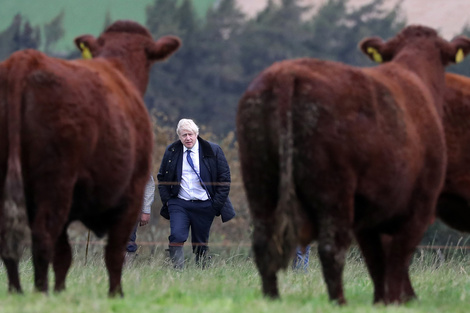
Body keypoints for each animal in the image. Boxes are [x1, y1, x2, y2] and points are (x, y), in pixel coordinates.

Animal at [0, 20, 181, 294]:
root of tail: (25, 60)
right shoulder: (133, 191)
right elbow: (114, 253)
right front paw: (115, 294)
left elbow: (64, 256)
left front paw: (62, 291)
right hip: (56, 183)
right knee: (42, 236)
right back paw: (40, 292)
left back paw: (17, 291)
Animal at [237, 25, 470, 304]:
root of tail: (285, 72)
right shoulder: (420, 206)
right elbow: (396, 260)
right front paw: (394, 302)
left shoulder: (371, 215)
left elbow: (378, 263)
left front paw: (381, 302)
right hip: (333, 190)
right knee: (332, 248)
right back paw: (339, 302)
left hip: (259, 183)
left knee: (264, 244)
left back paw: (272, 300)